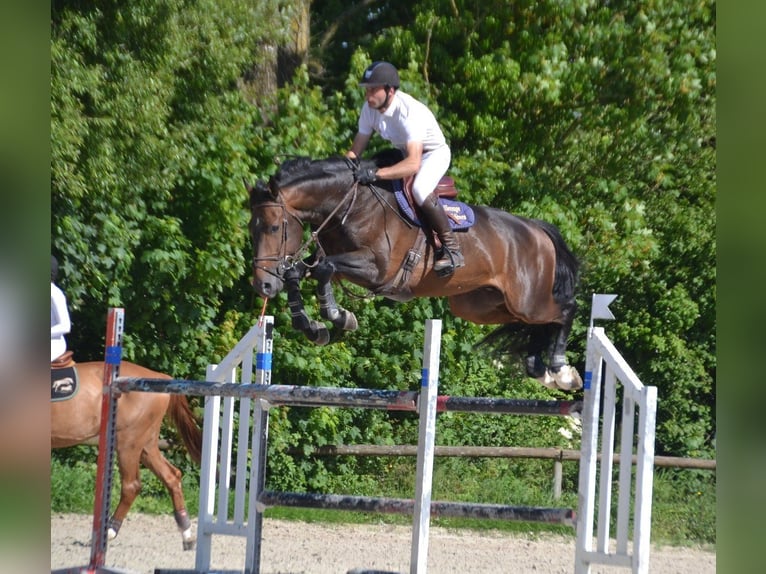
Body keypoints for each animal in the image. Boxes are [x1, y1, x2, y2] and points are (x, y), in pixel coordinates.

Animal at [52, 362, 206, 552]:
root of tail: (161, 377)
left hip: (129, 442)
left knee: (131, 486)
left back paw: (109, 532)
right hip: (146, 445)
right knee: (171, 476)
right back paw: (187, 535)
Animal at [249, 155, 584, 394]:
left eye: (274, 228)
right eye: (252, 228)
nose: (263, 286)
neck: (350, 204)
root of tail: (538, 229)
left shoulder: (376, 270)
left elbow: (324, 268)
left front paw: (337, 315)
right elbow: (296, 272)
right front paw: (313, 327)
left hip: (528, 300)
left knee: (566, 310)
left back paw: (561, 372)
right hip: (483, 306)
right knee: (538, 325)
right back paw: (540, 371)